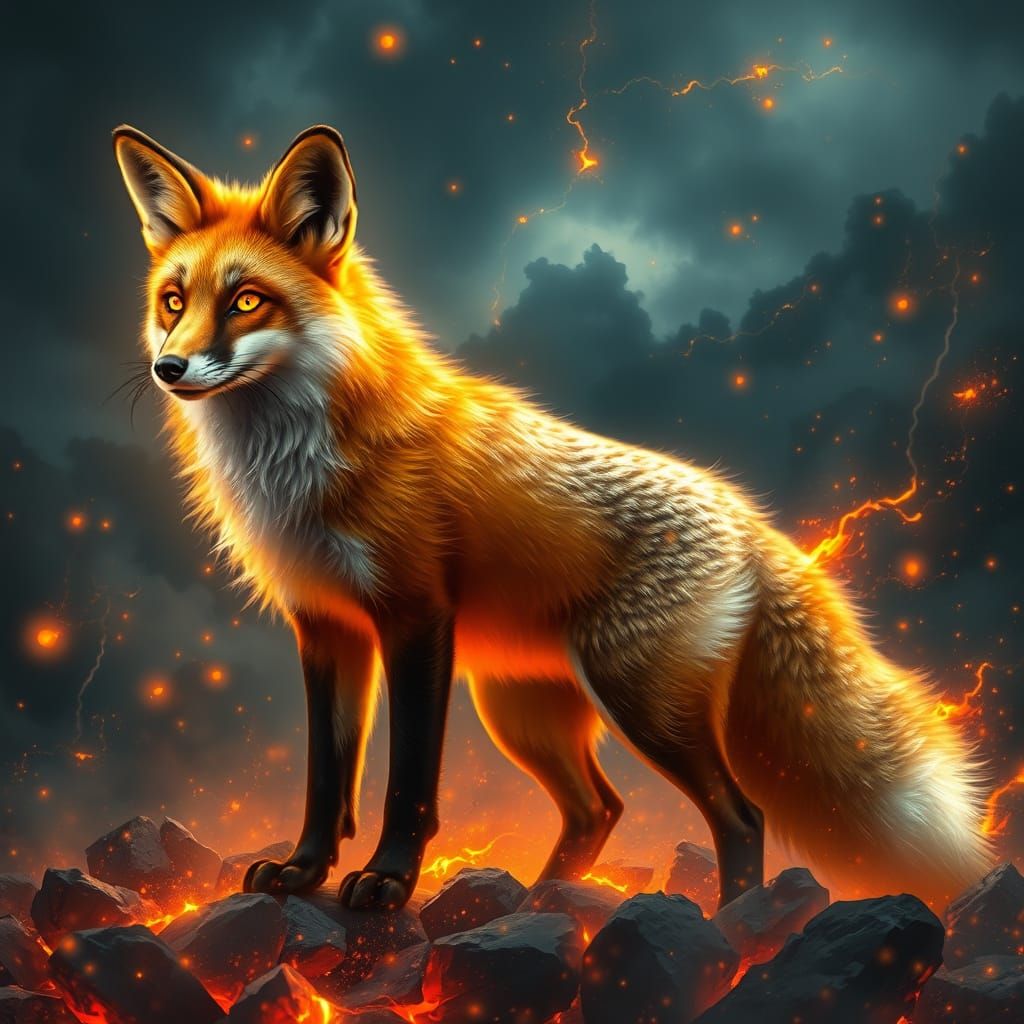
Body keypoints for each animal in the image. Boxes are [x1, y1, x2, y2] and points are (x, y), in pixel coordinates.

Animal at [112, 123, 992, 913]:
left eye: (247, 301)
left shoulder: (415, 616)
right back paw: (540, 906)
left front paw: (388, 883)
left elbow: (407, 784)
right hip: (523, 712)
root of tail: (745, 514)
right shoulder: (325, 626)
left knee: (741, 815)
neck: (296, 465)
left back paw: (735, 926)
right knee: (599, 809)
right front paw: (302, 871)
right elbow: (328, 779)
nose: (168, 367)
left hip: (639, 701)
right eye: (173, 301)